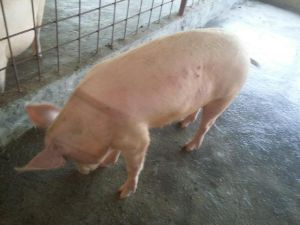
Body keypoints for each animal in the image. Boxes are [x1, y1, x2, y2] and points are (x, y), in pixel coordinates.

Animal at [17, 28, 251, 199]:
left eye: (68, 157)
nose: (81, 172)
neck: (91, 124)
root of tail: (240, 43)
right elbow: (115, 151)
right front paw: (107, 162)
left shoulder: (137, 135)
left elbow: (135, 165)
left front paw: (122, 193)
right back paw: (182, 124)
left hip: (227, 94)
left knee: (207, 123)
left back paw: (188, 147)